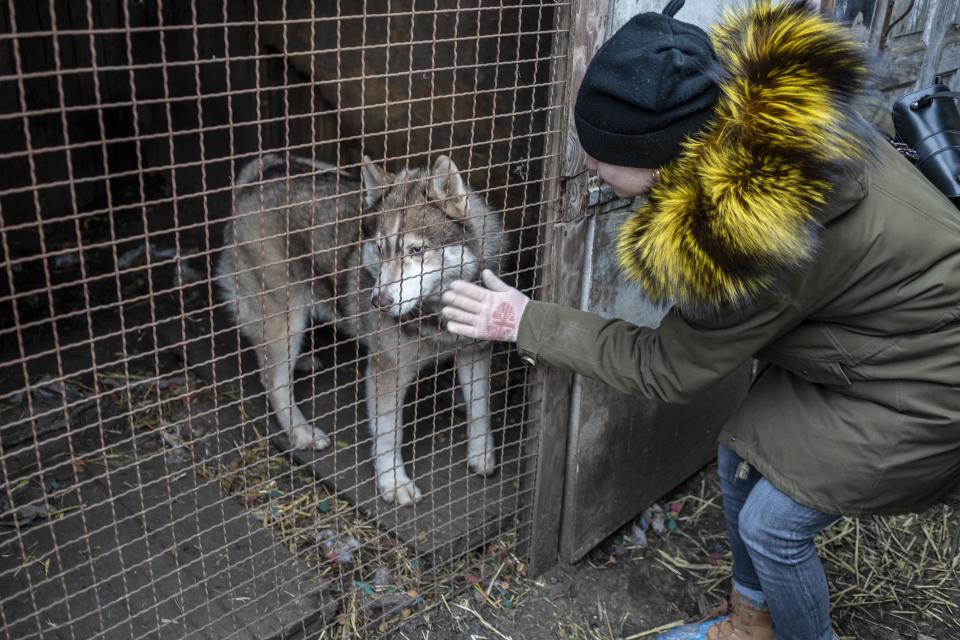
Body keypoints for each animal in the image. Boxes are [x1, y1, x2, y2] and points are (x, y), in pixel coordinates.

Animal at [216, 152, 502, 502]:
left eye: (417, 250)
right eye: (379, 248)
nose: (378, 301)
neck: (435, 313)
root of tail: (260, 173)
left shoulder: (475, 353)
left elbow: (480, 409)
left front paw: (481, 455)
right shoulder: (386, 371)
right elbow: (389, 433)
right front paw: (393, 483)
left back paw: (303, 362)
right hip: (286, 318)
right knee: (273, 380)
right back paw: (301, 431)